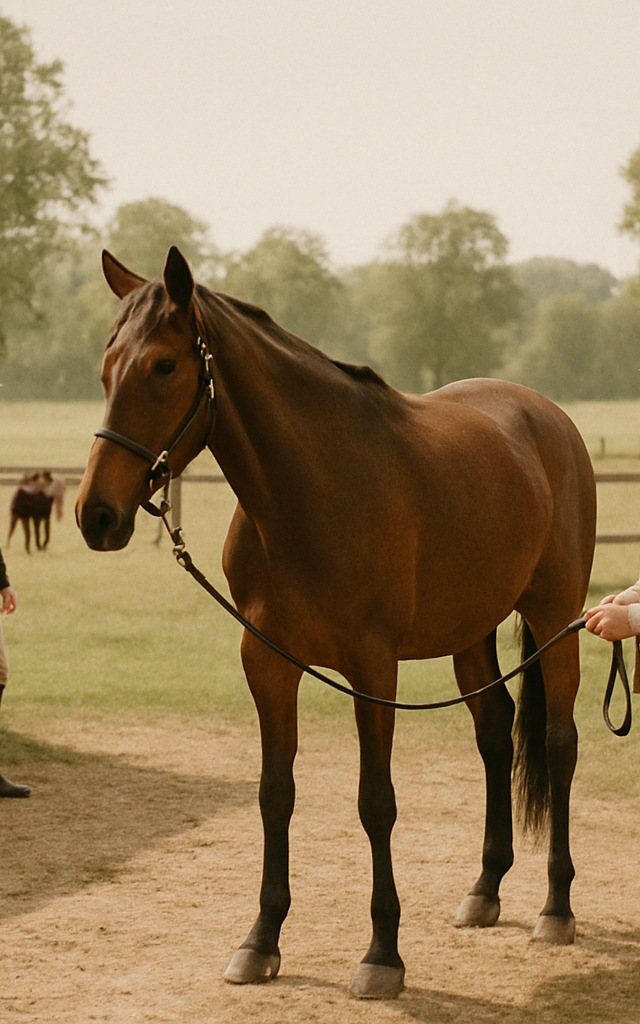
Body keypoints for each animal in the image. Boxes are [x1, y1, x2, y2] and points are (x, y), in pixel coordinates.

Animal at [75, 247, 596, 1000]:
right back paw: (485, 889)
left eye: (164, 366)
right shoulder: (266, 662)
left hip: (556, 616)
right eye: (106, 368)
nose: (97, 515)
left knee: (558, 745)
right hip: (470, 632)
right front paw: (260, 940)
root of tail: (548, 417)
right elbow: (275, 794)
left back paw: (556, 907)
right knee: (496, 735)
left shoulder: (372, 667)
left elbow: (375, 802)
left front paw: (382, 954)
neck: (312, 491)